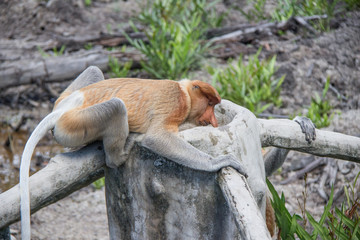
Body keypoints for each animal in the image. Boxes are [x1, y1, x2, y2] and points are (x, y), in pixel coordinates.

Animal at [20, 65, 248, 240]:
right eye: (209, 103)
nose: (214, 121)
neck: (184, 91)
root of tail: (62, 109)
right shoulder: (176, 104)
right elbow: (156, 137)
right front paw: (220, 161)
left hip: (66, 101)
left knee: (94, 70)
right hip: (75, 122)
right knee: (116, 107)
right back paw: (119, 155)